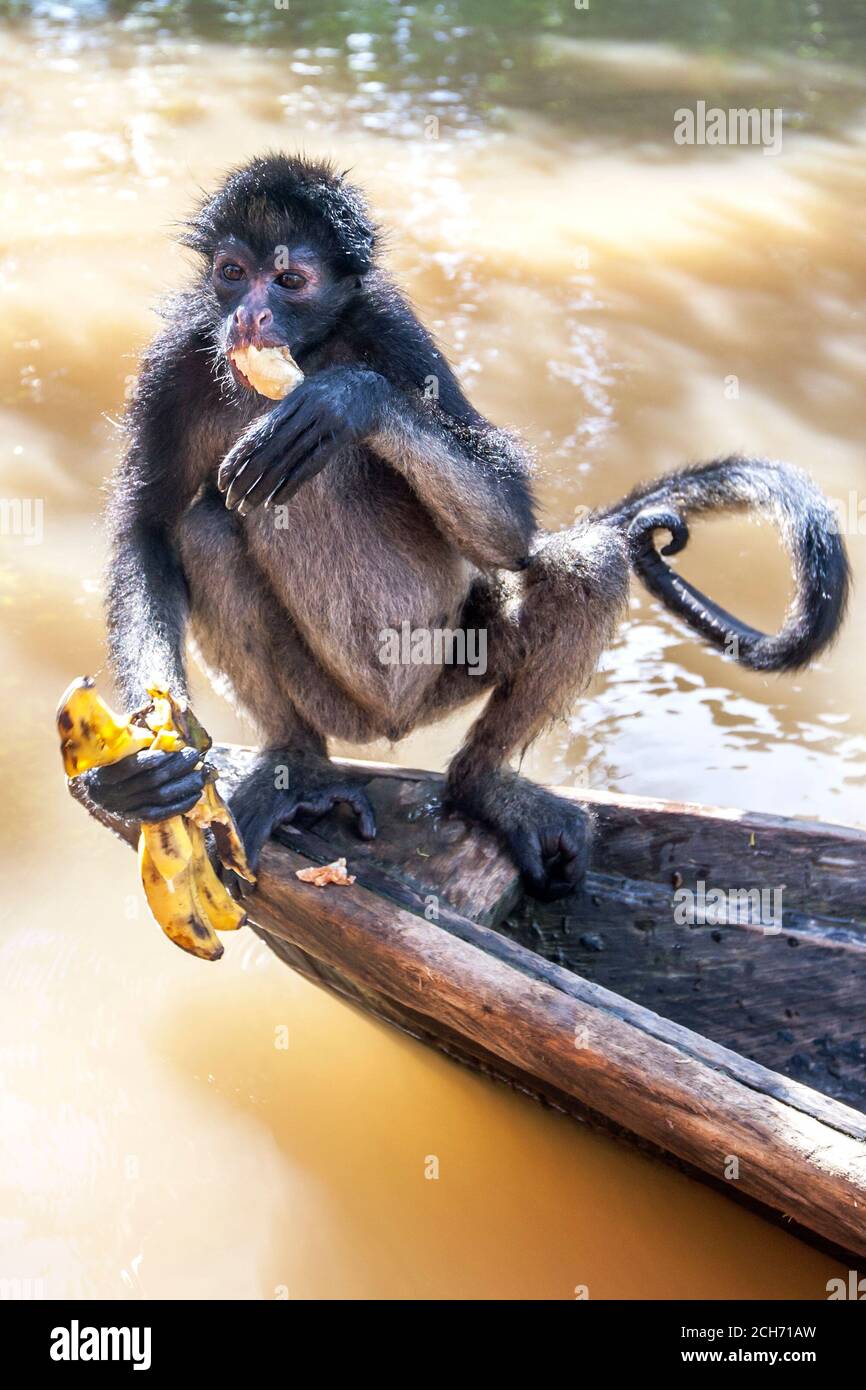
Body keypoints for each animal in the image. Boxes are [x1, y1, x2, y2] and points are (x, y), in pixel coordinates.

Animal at [84, 154, 850, 900]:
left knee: (585, 564)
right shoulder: (180, 351)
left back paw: (480, 785)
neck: (311, 349)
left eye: (290, 280)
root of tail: (385, 722)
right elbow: (147, 534)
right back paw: (298, 768)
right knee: (205, 531)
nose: (249, 316)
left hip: (448, 666)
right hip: (325, 696)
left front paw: (347, 401)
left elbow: (508, 527)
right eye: (232, 273)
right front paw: (146, 765)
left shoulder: (391, 329)